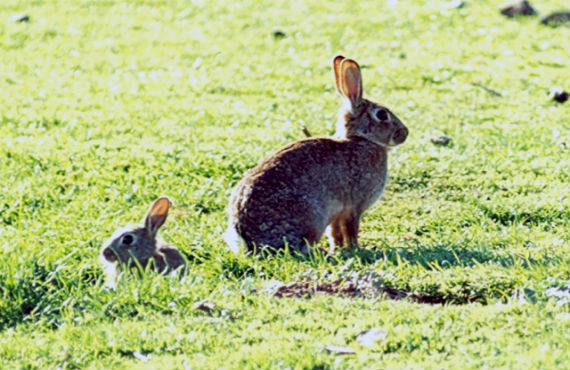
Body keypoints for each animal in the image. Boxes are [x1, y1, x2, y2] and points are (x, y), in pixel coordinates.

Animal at [224, 55, 406, 254]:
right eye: (382, 115)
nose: (405, 133)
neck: (361, 139)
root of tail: (246, 239)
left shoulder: (337, 212)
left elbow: (335, 233)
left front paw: (339, 248)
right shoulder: (354, 207)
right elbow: (352, 230)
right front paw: (357, 248)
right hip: (311, 218)